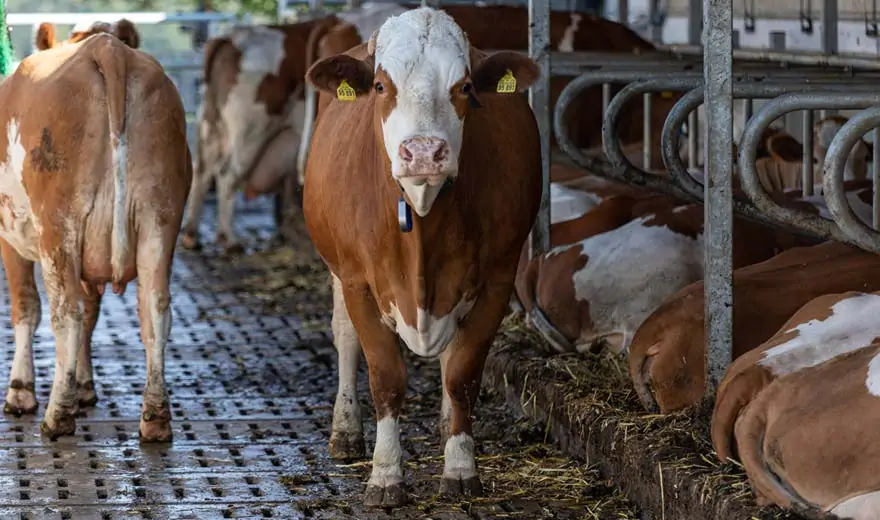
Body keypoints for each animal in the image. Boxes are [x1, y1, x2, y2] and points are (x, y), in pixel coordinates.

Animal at [0, 32, 191, 440]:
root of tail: (108, 48)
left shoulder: (11, 238)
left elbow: (26, 308)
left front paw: (21, 392)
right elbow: (91, 312)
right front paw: (84, 388)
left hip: (59, 226)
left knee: (65, 314)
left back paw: (57, 416)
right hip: (160, 219)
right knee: (155, 311)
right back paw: (155, 419)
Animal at [304, 7, 544, 508]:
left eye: (465, 87)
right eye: (380, 86)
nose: (423, 152)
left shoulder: (497, 279)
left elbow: (463, 373)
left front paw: (460, 466)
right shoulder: (358, 281)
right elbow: (386, 376)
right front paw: (386, 475)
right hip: (337, 270)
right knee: (344, 337)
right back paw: (345, 430)